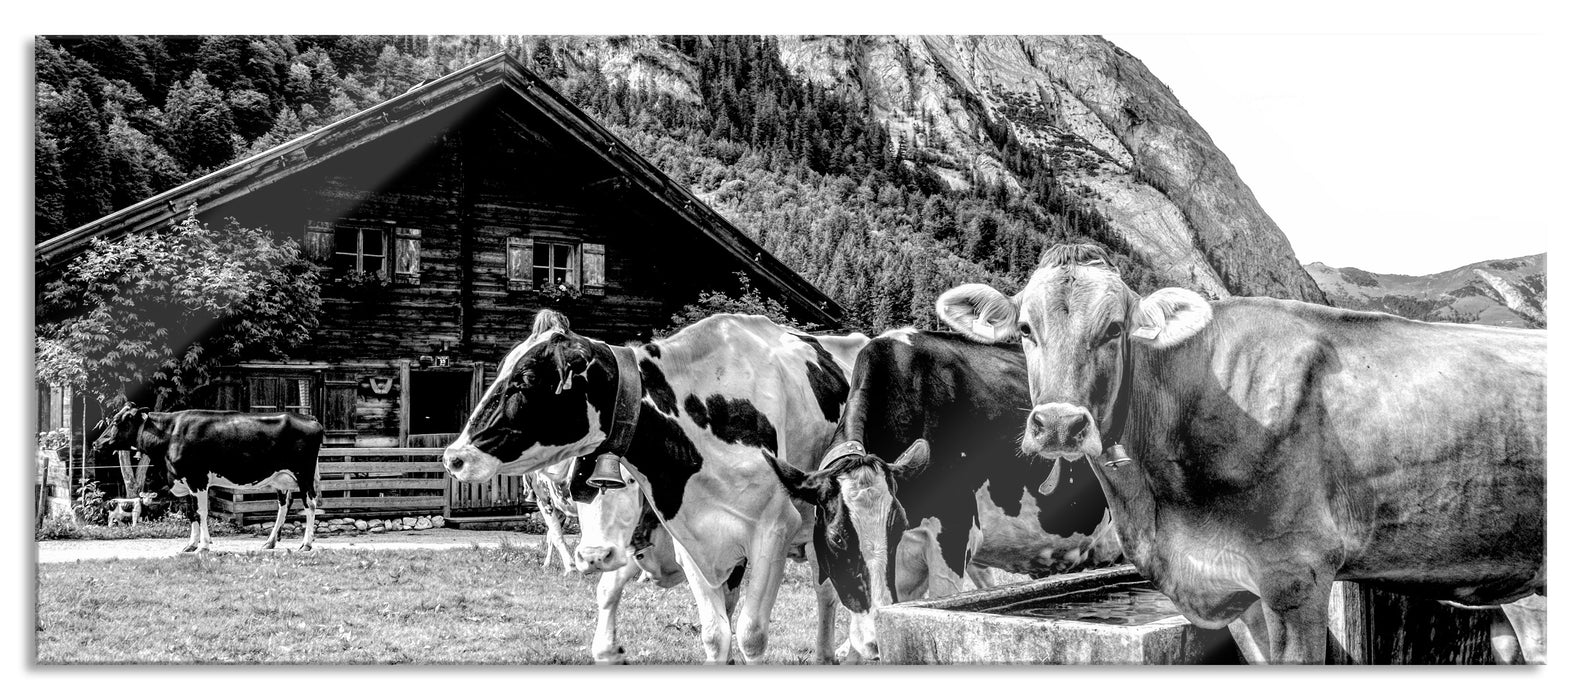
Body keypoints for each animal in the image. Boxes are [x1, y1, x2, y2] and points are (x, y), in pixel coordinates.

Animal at [90, 405, 324, 551]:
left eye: (118, 421)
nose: (96, 443)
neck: (170, 435)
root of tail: (309, 418)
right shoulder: (184, 481)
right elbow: (191, 513)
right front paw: (191, 545)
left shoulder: (198, 479)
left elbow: (202, 512)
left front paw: (203, 545)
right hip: (281, 479)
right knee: (284, 505)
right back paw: (270, 542)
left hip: (304, 474)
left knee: (310, 504)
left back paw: (306, 544)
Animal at [439, 315, 873, 665]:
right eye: (580, 486)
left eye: (526, 379)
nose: (454, 457)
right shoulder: (689, 538)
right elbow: (715, 634)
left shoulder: (774, 529)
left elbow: (750, 633)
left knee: (831, 592)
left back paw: (837, 653)